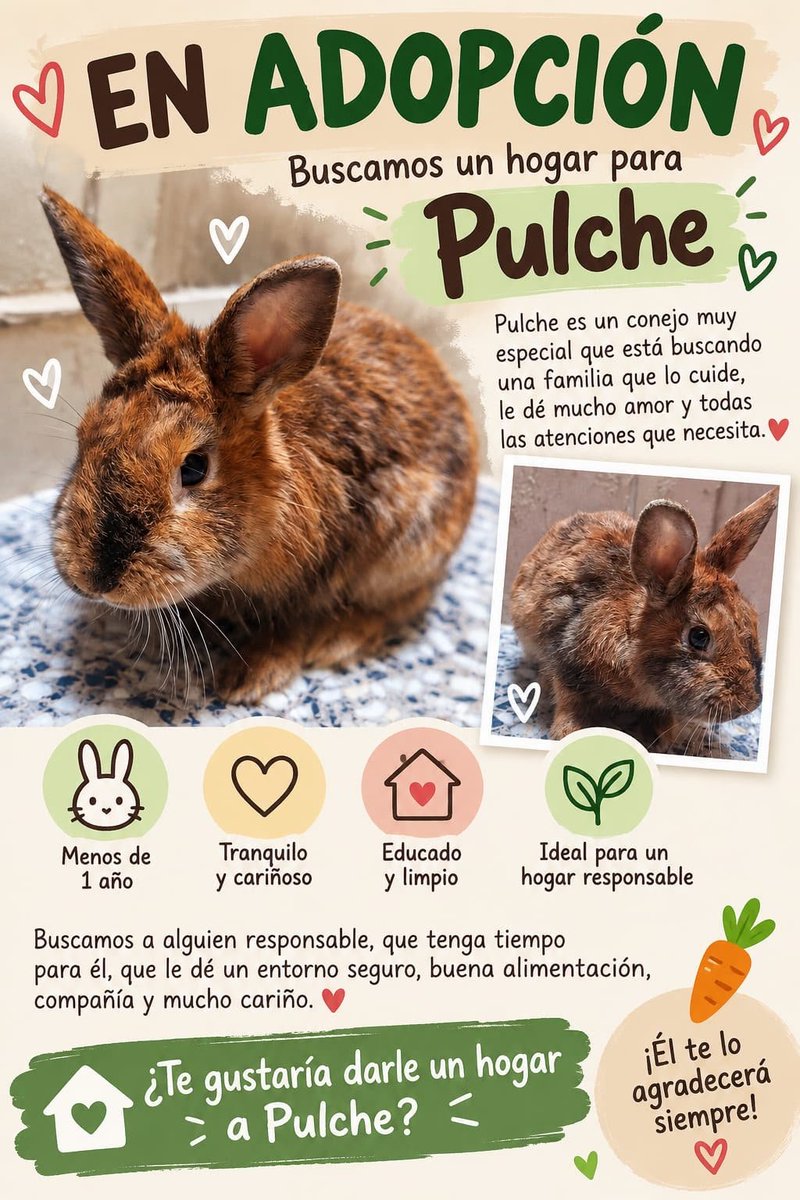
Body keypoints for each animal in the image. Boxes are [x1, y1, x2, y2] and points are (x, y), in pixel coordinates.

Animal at [40, 188, 478, 702]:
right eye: (84, 435)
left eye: (194, 467)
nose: (95, 579)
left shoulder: (317, 577)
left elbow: (290, 627)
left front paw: (246, 680)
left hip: (410, 554)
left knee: (406, 602)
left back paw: (339, 641)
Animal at [510, 487, 779, 755]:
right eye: (699, 637)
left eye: (752, 618)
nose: (748, 704)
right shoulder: (565, 660)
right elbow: (570, 703)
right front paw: (569, 731)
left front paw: (660, 737)